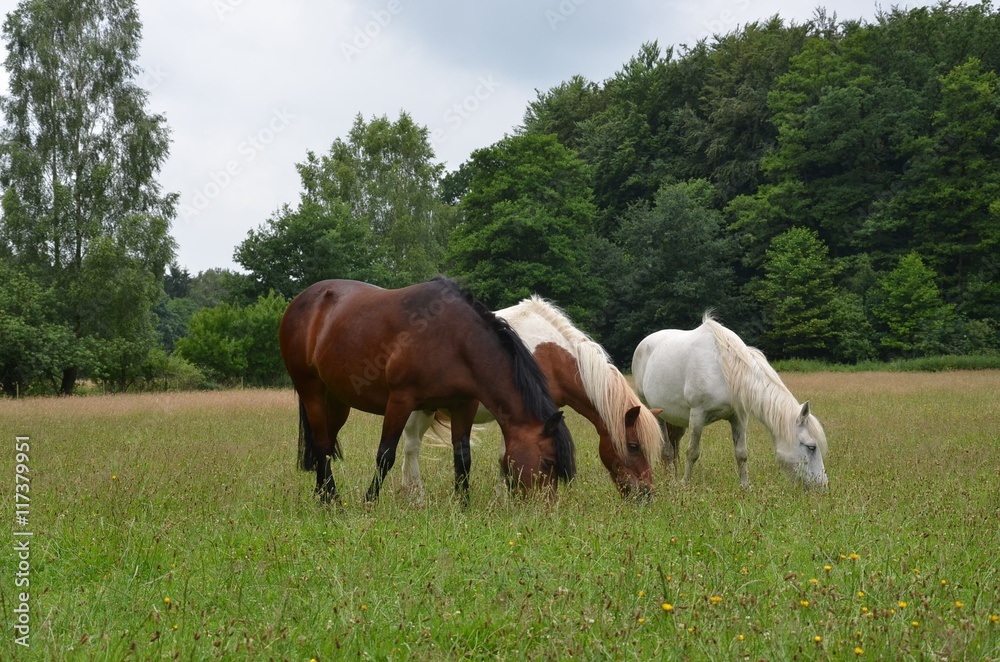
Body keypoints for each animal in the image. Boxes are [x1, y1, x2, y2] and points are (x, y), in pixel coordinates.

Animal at [280, 278, 580, 506]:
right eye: (550, 462)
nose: (546, 508)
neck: (454, 339)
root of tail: (303, 299)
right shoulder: (400, 401)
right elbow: (385, 455)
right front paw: (369, 501)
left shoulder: (463, 405)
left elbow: (463, 458)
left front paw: (464, 505)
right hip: (311, 390)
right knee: (321, 444)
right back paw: (331, 500)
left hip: (338, 399)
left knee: (326, 444)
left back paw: (323, 496)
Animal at [398, 298, 664, 500]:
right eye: (633, 446)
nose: (646, 494)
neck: (549, 355)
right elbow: (505, 456)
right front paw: (504, 498)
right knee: (411, 446)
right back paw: (415, 496)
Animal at [632, 314, 828, 490]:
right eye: (811, 447)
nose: (822, 487)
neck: (725, 369)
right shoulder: (697, 415)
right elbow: (692, 452)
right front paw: (685, 484)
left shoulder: (738, 417)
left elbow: (741, 453)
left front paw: (745, 487)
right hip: (653, 410)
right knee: (666, 450)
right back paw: (671, 481)